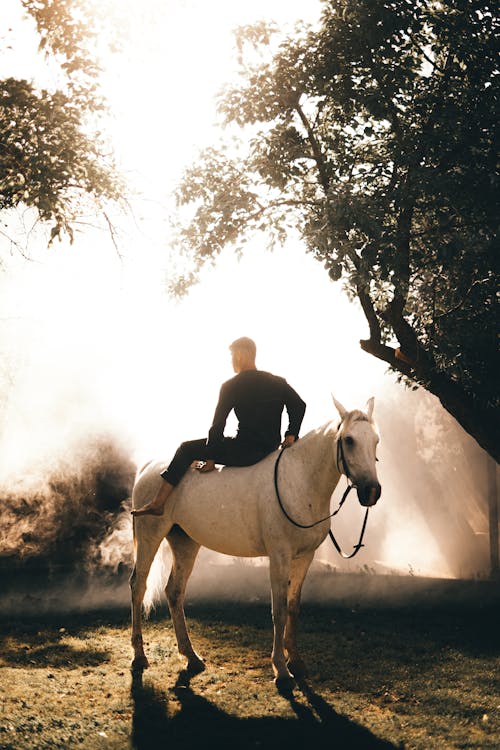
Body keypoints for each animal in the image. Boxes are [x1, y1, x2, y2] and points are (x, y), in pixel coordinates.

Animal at [129, 400, 378, 688]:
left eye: (376, 441)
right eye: (349, 440)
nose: (372, 492)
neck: (299, 481)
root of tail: (150, 467)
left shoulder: (305, 557)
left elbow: (292, 607)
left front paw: (296, 661)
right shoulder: (279, 556)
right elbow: (278, 610)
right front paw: (281, 669)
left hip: (185, 543)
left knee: (174, 591)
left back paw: (191, 656)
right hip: (149, 536)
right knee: (138, 586)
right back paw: (139, 656)